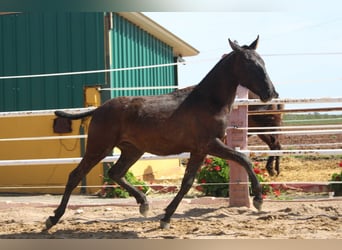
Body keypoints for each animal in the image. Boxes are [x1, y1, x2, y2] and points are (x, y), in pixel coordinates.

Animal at [44, 35, 278, 230]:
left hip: (132, 150)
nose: (271, 93)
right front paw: (258, 200)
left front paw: (165, 218)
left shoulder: (200, 150)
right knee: (76, 175)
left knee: (115, 173)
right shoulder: (209, 144)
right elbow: (243, 159)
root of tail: (100, 108)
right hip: (99, 146)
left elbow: (187, 183)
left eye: (263, 62)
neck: (208, 101)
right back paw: (53, 219)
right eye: (250, 63)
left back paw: (144, 204)